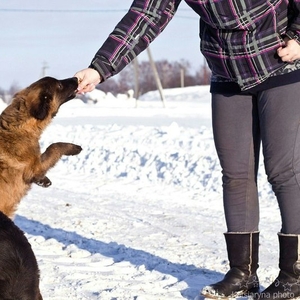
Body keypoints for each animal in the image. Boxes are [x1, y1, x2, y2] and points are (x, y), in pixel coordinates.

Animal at [0, 77, 82, 218]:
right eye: (59, 85)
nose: (76, 78)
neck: (20, 124)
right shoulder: (35, 167)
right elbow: (54, 147)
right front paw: (74, 148)